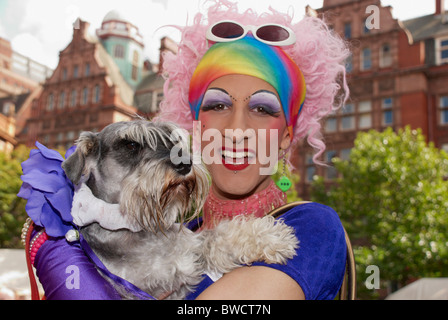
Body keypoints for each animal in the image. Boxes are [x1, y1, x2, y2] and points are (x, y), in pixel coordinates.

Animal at [60, 119, 298, 298]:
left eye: (172, 140)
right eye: (131, 145)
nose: (185, 164)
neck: (138, 230)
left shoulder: (190, 249)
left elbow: (217, 236)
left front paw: (271, 237)